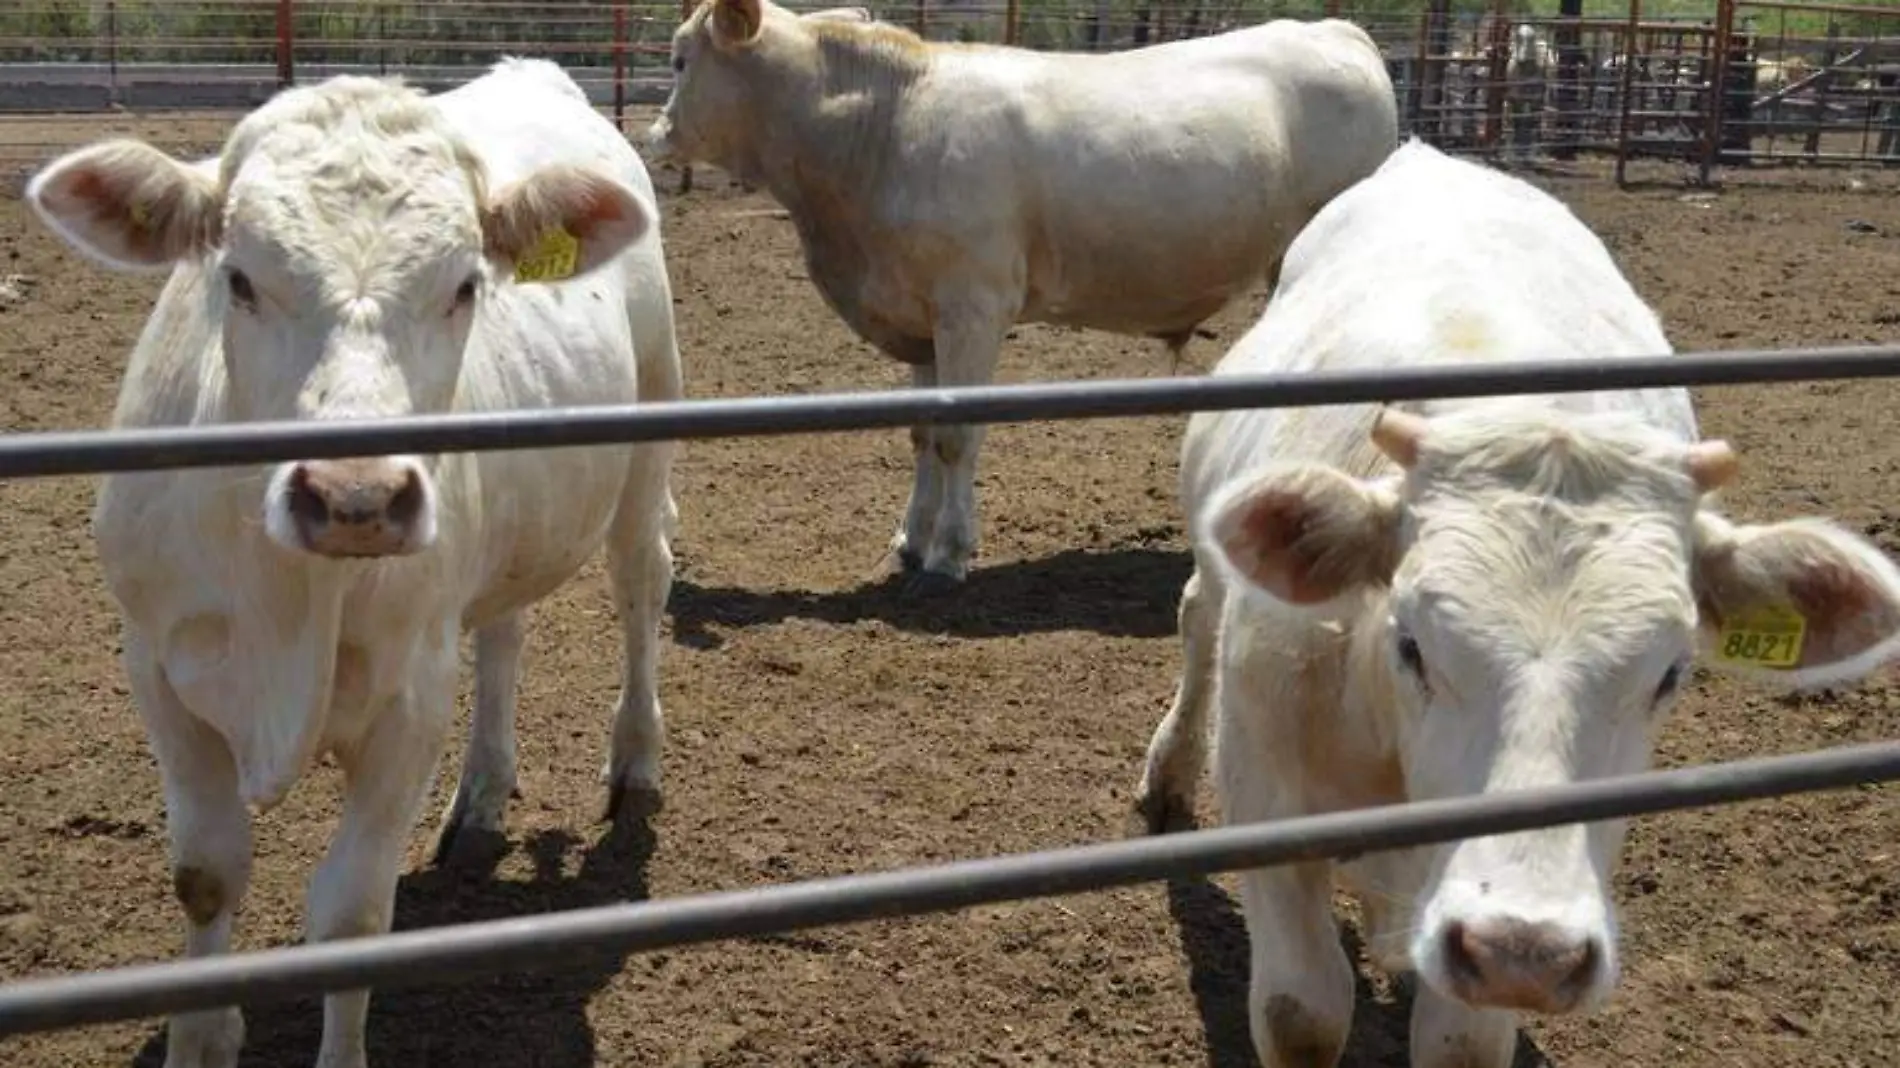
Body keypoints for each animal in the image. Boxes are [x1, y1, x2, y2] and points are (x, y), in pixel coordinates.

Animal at [24, 60, 684, 1064]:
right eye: (239, 279)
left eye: (465, 286)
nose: (355, 495)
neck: (285, 601)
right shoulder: (158, 667)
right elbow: (205, 874)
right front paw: (203, 1035)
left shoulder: (410, 696)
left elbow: (349, 919)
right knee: (505, 631)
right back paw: (482, 794)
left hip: (649, 433)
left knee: (642, 583)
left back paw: (634, 757)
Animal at [646, 0, 1406, 589]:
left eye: (680, 59)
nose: (654, 132)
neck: (885, 127)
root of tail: (1336, 31)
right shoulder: (918, 314)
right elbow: (922, 432)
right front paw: (910, 540)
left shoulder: (973, 307)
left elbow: (956, 435)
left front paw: (949, 554)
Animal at [1132, 139, 1892, 1064]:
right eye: (1412, 643)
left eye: (1671, 674)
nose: (1522, 948)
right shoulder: (1268, 798)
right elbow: (1302, 1012)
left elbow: (1461, 1038)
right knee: (1196, 615)